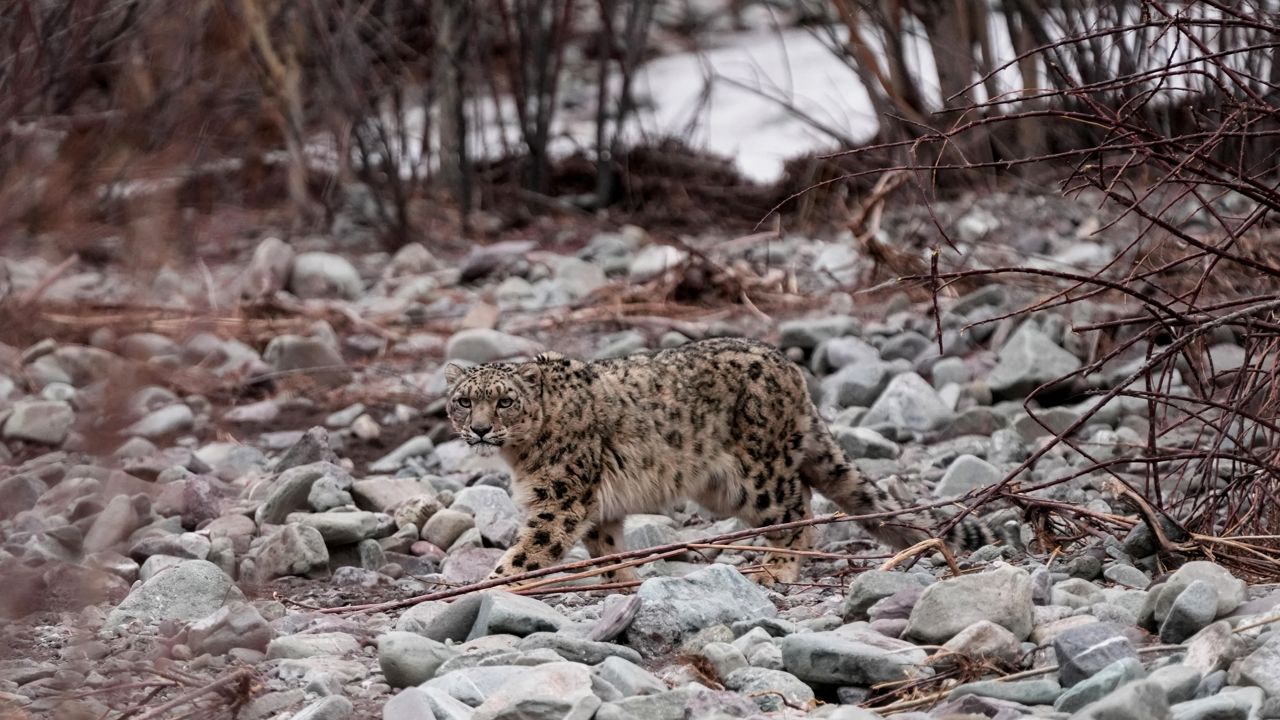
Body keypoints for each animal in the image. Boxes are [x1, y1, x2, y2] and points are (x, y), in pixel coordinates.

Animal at [443, 337, 994, 586]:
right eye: (464, 401)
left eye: (505, 401)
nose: (480, 429)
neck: (519, 457)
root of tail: (790, 370)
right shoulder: (594, 506)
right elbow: (606, 547)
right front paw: (622, 584)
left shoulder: (560, 499)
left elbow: (528, 552)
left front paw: (483, 589)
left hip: (756, 475)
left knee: (797, 509)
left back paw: (776, 568)